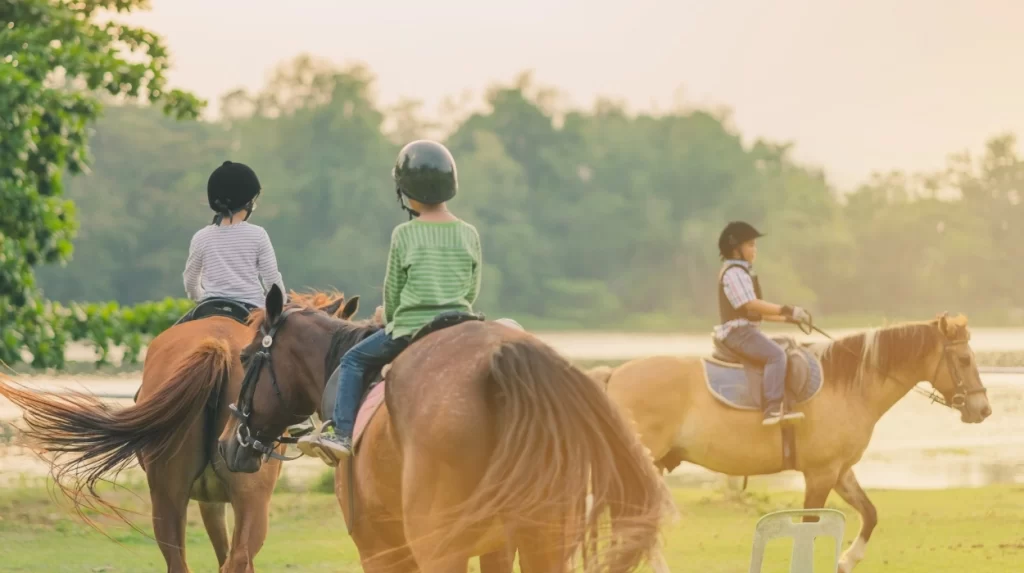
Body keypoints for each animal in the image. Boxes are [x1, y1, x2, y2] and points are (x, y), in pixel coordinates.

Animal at [0, 290, 360, 573]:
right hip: (249, 500)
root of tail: (218, 345)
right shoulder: (215, 503)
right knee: (237, 560)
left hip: (168, 496)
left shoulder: (209, 503)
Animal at [217, 286, 667, 573]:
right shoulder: (498, 548)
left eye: (246, 356)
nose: (226, 443)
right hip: (546, 540)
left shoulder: (380, 549)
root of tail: (503, 361)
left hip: (438, 546)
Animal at [598, 313, 991, 573]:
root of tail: (614, 375)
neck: (847, 385)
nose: (983, 408)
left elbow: (870, 514)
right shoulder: (820, 475)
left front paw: (847, 560)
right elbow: (809, 527)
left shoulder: (840, 472)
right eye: (964, 359)